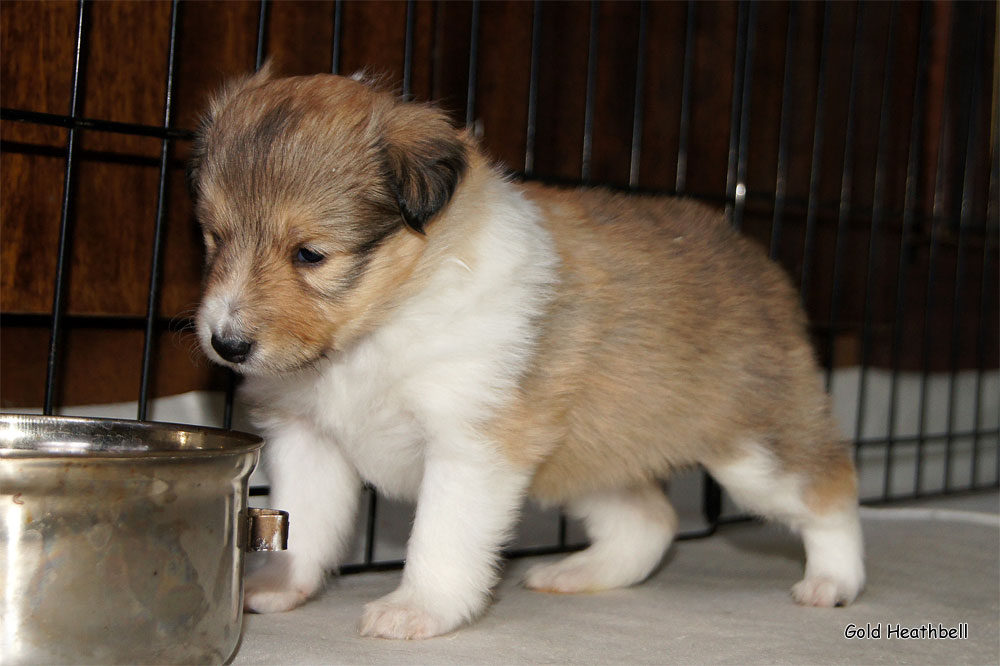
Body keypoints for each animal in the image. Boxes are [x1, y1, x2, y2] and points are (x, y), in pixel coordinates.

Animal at [191, 66, 864, 640]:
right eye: (214, 237)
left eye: (311, 254)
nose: (227, 344)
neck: (381, 327)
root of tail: (754, 256)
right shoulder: (308, 436)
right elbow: (300, 520)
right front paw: (277, 587)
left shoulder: (472, 441)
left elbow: (440, 537)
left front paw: (416, 610)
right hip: (590, 453)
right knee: (650, 522)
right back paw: (576, 573)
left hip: (757, 447)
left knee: (831, 489)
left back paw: (832, 582)